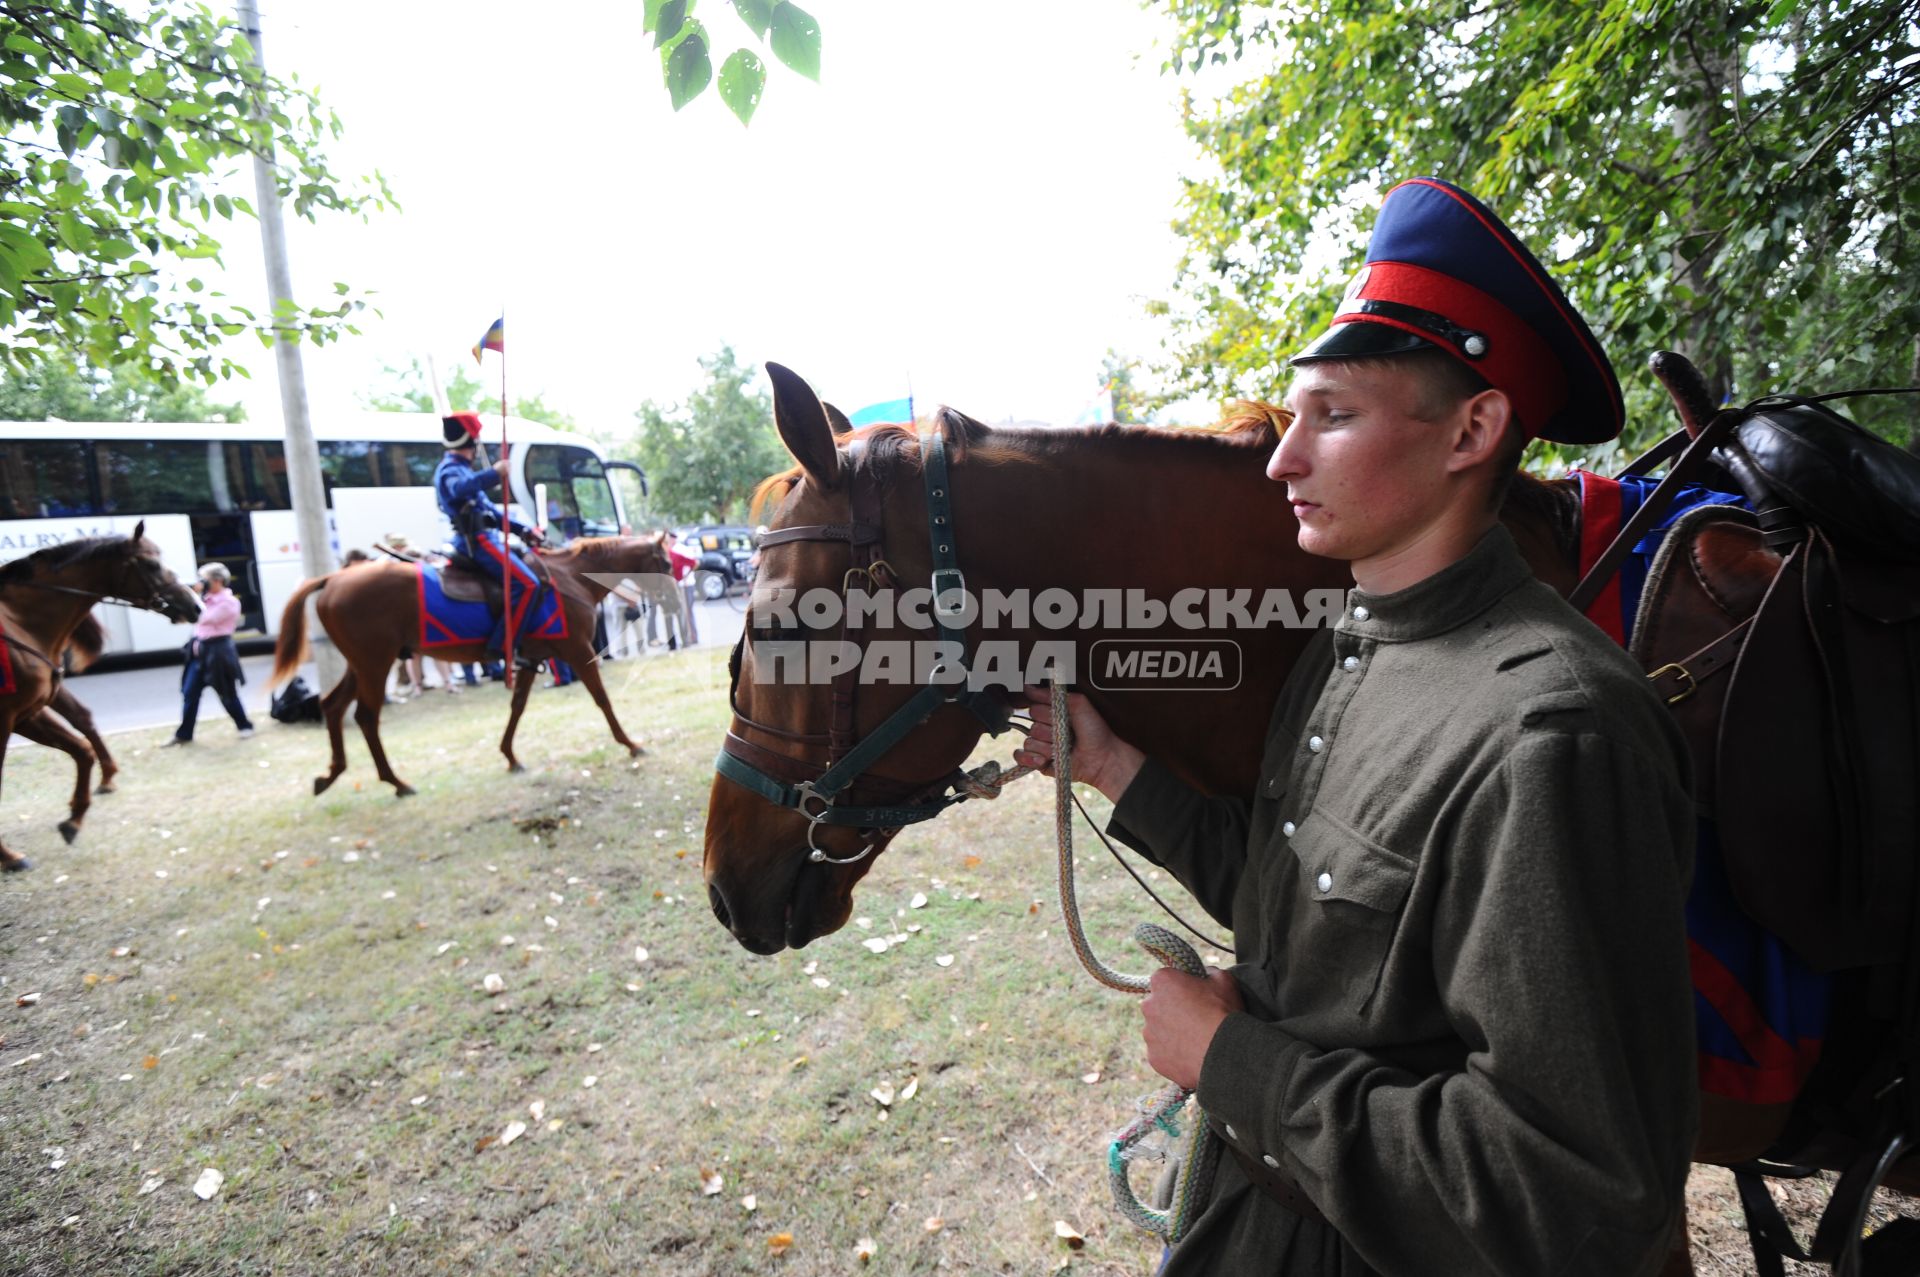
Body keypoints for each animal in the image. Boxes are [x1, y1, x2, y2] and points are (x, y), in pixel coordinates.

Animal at [1, 522, 200, 871]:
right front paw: (11, 857)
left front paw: (76, 816)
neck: (18, 622)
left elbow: (82, 745)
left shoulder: (28, 712)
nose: (195, 606)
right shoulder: (9, 716)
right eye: (152, 564)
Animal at [268, 530, 675, 791]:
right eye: (668, 564)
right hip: (375, 663)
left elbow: (517, 706)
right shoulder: (578, 649)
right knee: (366, 717)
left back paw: (333, 774)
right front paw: (630, 743)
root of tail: (334, 579)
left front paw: (510, 756)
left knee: (332, 706)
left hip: (363, 663)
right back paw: (395, 781)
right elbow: (602, 698)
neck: (569, 579)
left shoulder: (532, 658)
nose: (673, 602)